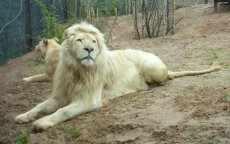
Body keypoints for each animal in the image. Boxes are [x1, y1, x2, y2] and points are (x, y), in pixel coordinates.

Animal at [14, 21, 221, 132]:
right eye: (80, 40)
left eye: (94, 41)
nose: (89, 50)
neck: (78, 70)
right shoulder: (59, 95)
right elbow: (39, 106)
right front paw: (23, 117)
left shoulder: (89, 100)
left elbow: (62, 112)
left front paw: (40, 123)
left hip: (148, 64)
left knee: (164, 80)